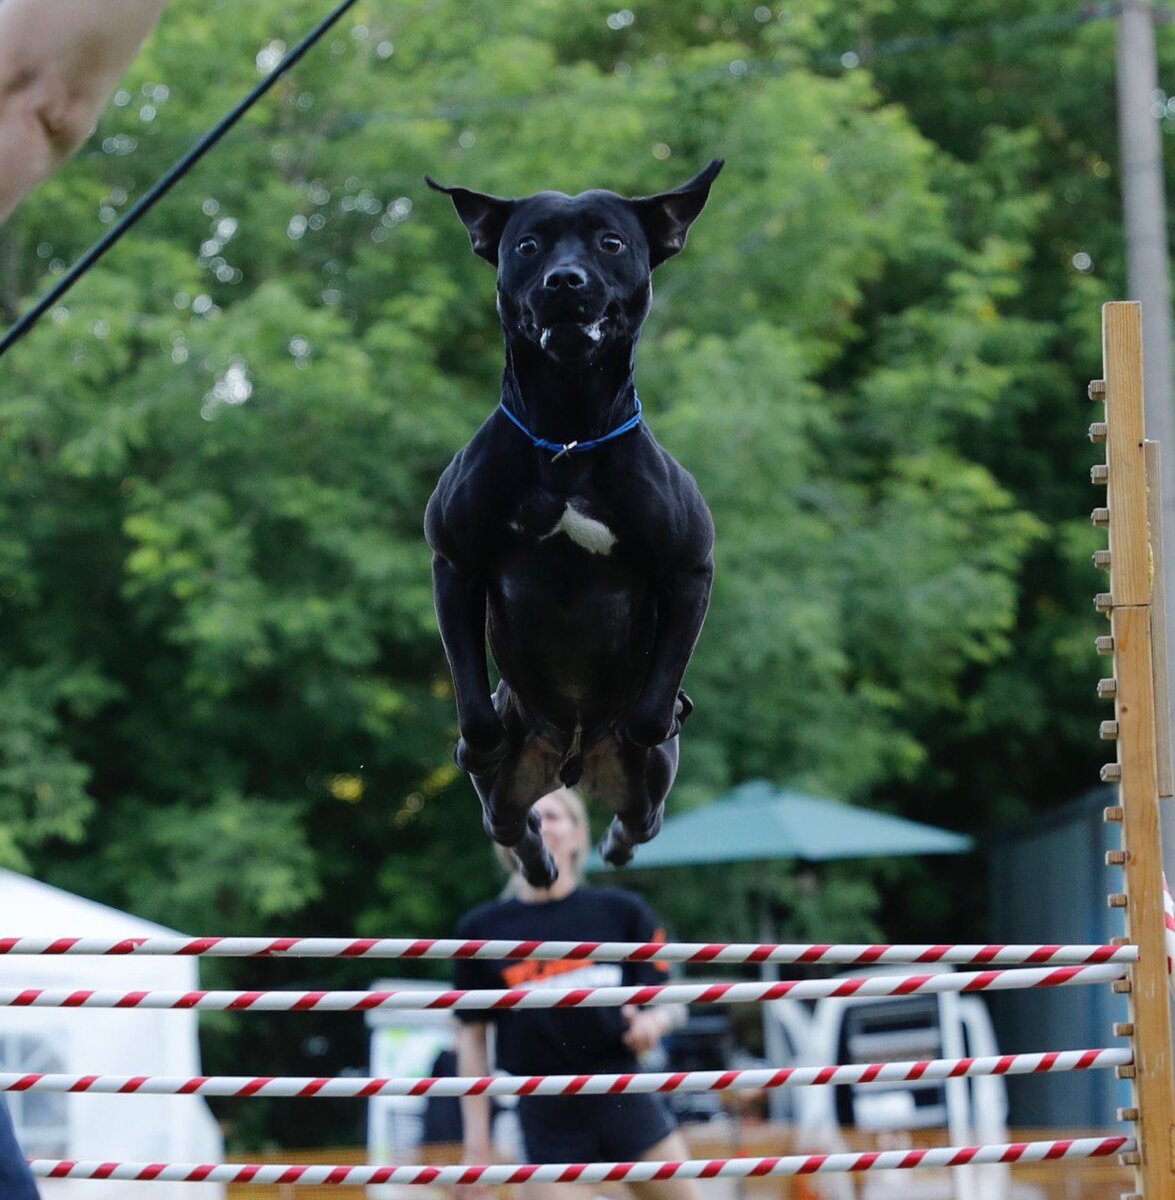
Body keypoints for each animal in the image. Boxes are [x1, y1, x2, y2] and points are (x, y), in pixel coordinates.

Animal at [422, 164, 715, 888]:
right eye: (528, 245)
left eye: (611, 242)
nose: (565, 280)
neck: (567, 434)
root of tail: (574, 759)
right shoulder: (453, 563)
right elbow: (474, 710)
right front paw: (475, 742)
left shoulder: (691, 569)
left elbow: (651, 710)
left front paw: (660, 711)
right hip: (511, 786)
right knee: (508, 823)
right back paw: (539, 861)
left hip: (646, 785)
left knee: (642, 817)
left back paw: (613, 840)